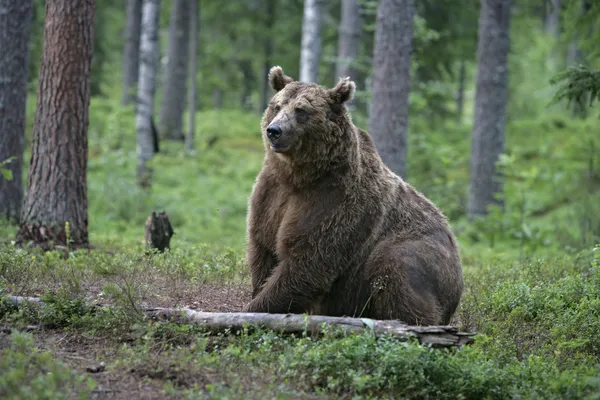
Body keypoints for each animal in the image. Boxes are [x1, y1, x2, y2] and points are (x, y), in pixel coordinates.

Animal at [244, 67, 464, 326]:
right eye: (277, 105)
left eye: (302, 110)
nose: (274, 131)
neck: (299, 176)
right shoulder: (271, 194)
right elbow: (263, 249)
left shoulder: (334, 201)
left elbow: (307, 259)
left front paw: (256, 308)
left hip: (419, 253)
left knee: (396, 269)